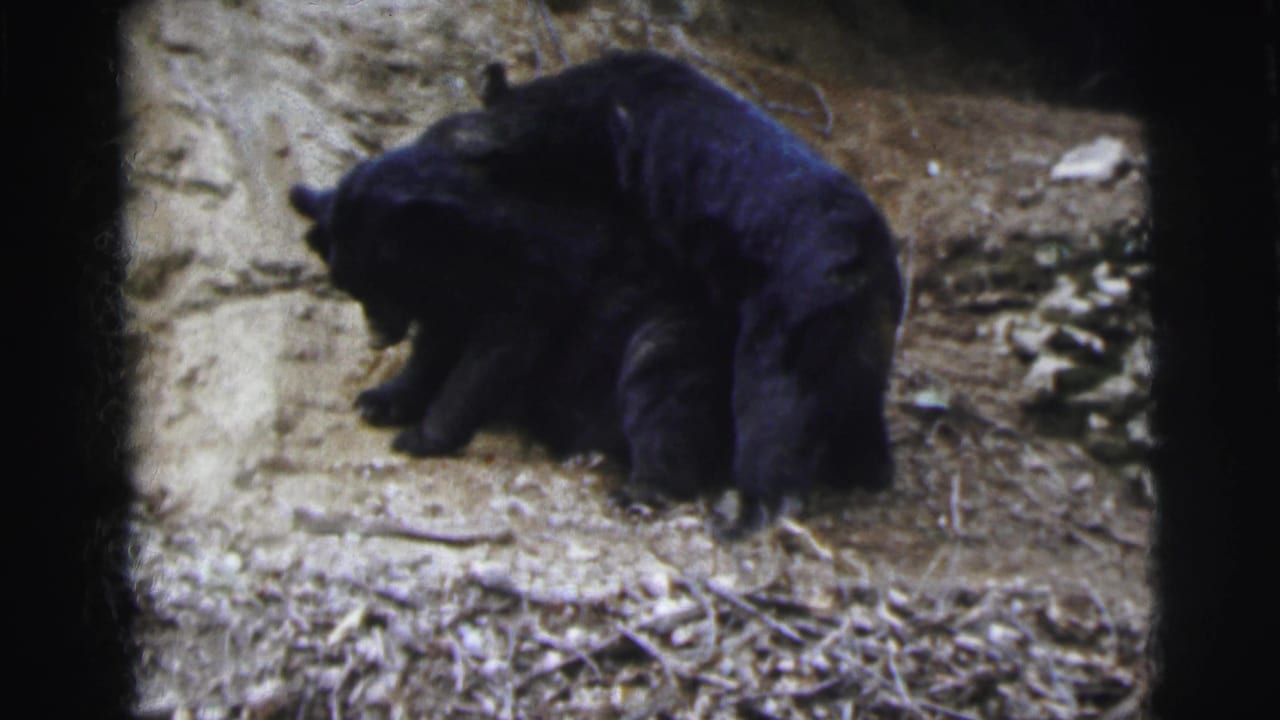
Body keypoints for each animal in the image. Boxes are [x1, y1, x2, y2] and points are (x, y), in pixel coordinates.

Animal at [289, 114, 734, 504]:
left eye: (386, 287)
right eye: (349, 287)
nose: (377, 338)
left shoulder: (536, 274)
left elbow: (491, 358)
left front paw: (422, 436)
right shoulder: (451, 299)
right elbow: (431, 350)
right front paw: (380, 400)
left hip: (672, 324)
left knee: (662, 388)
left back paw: (641, 488)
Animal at [456, 51, 905, 530]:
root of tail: (864, 262)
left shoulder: (599, 124)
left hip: (792, 309)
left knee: (773, 405)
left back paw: (741, 508)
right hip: (864, 335)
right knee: (858, 403)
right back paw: (868, 469)